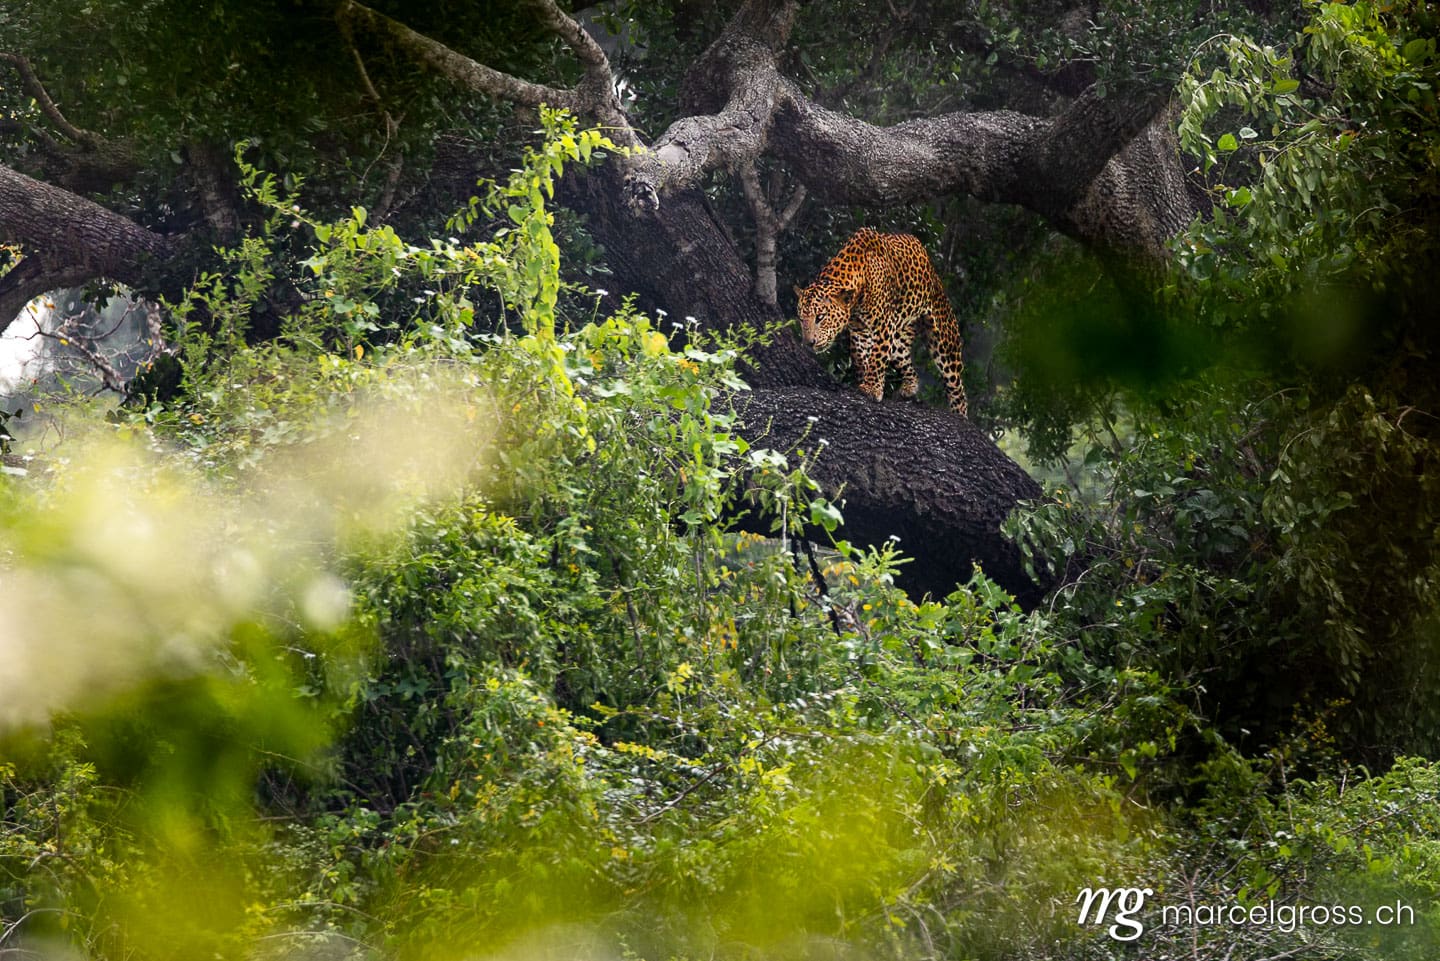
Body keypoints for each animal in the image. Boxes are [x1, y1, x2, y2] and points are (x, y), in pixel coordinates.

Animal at [794, 228, 968, 417]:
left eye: (820, 317)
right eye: (801, 319)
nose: (809, 343)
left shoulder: (884, 325)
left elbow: (876, 357)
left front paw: (871, 389)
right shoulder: (860, 331)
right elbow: (861, 357)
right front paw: (864, 381)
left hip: (944, 341)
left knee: (957, 386)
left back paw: (960, 415)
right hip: (899, 342)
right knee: (911, 370)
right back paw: (908, 388)